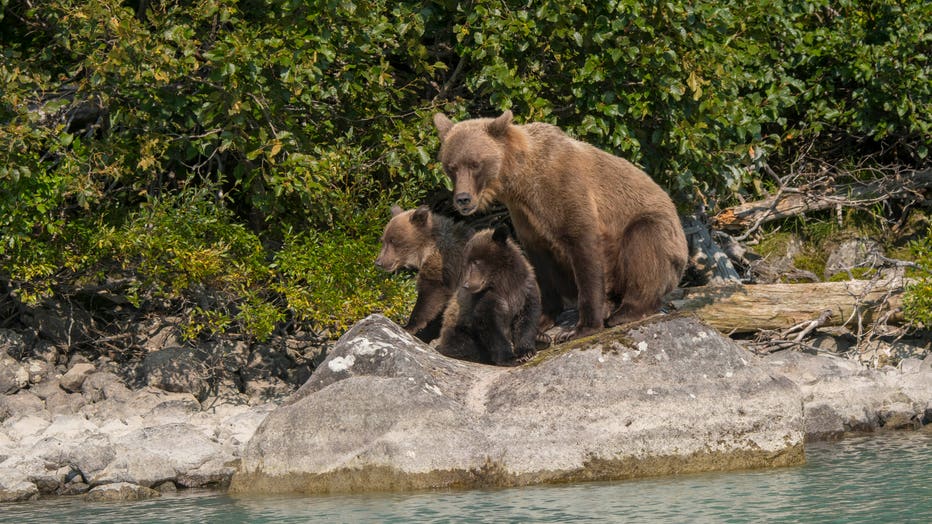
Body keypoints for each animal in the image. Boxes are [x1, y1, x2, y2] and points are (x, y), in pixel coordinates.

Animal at [434, 110, 688, 340]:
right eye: (451, 166)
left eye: (475, 164)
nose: (463, 198)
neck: (520, 180)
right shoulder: (526, 217)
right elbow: (541, 265)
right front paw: (540, 321)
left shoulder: (565, 189)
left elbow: (583, 248)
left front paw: (582, 327)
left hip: (660, 232)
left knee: (644, 244)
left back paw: (627, 311)